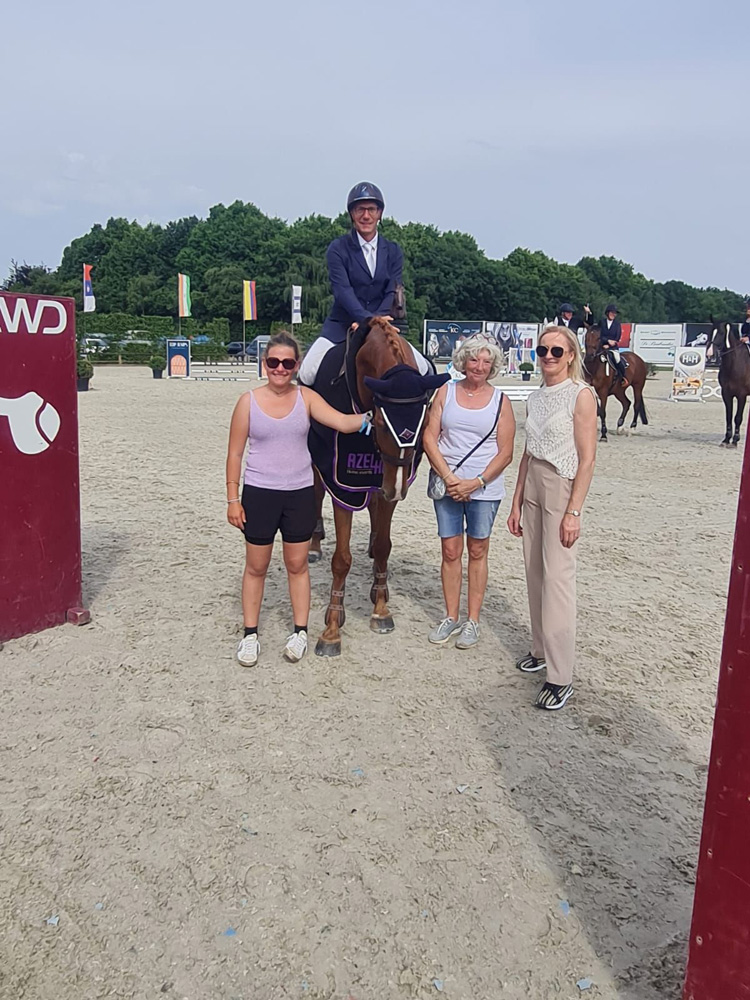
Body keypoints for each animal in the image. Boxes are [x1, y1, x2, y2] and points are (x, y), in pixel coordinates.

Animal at [307, 314, 447, 657]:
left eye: (425, 422)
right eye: (383, 424)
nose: (396, 489)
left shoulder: (387, 481)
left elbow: (385, 545)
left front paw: (381, 608)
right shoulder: (344, 485)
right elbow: (341, 559)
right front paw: (331, 629)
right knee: (316, 492)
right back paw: (315, 545)